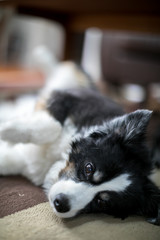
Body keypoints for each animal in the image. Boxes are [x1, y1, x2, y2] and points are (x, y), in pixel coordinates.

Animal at [0, 62, 159, 225]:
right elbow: (53, 126)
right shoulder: (70, 98)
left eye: (102, 202)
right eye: (89, 168)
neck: (59, 159)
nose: (60, 203)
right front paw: (6, 130)